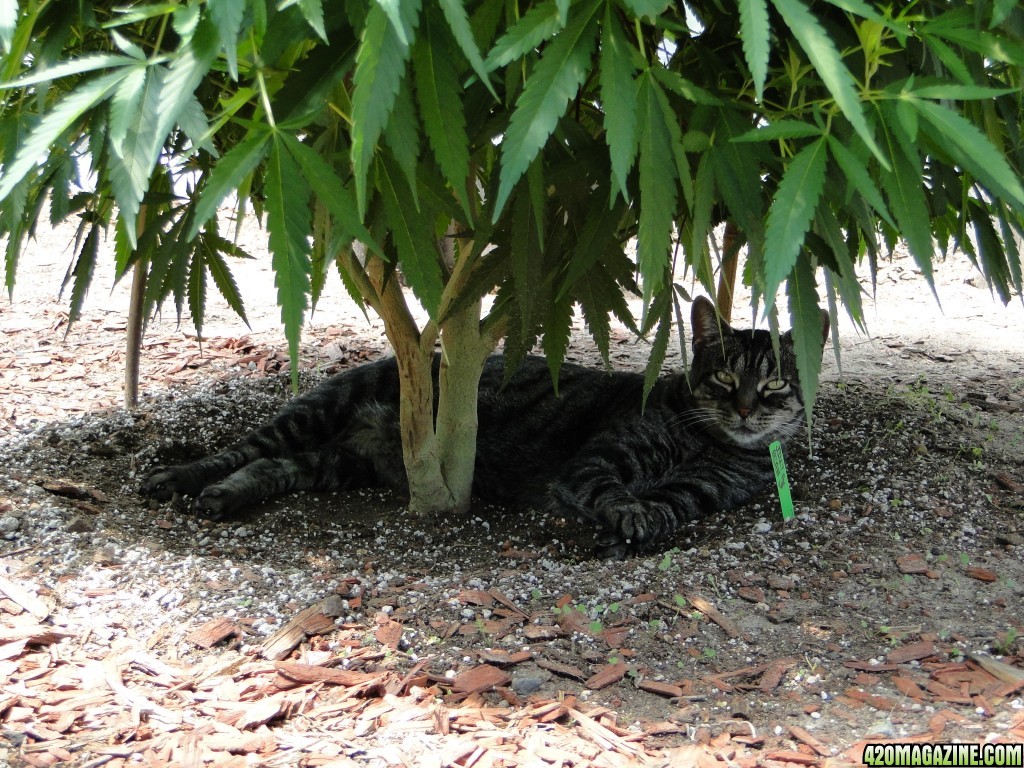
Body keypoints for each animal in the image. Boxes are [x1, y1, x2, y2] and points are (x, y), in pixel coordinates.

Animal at [144, 299, 827, 561]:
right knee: (243, 448)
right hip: (317, 410)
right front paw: (624, 520)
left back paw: (224, 497)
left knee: (270, 467)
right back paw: (178, 477)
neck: (709, 441)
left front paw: (628, 533)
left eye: (773, 385)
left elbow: (664, 510)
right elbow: (614, 494)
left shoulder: (704, 490)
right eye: (725, 377)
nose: (746, 409)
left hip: (339, 463)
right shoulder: (597, 462)